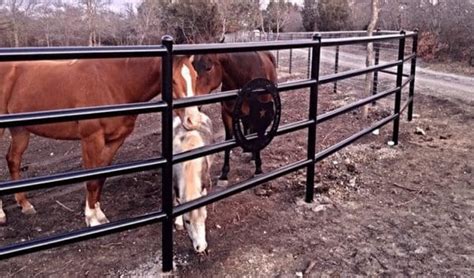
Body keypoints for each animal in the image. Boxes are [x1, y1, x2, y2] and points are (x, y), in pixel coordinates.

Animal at [0, 56, 202, 226]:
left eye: (195, 76)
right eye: (172, 80)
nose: (192, 119)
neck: (115, 82)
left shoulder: (115, 141)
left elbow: (101, 176)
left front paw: (99, 214)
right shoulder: (91, 139)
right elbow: (91, 179)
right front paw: (91, 219)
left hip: (20, 131)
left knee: (13, 159)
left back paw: (25, 204)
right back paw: (2, 214)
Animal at [193, 51, 278, 186]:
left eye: (209, 67)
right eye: (193, 66)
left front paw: (258, 169)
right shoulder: (227, 114)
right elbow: (228, 140)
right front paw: (224, 175)